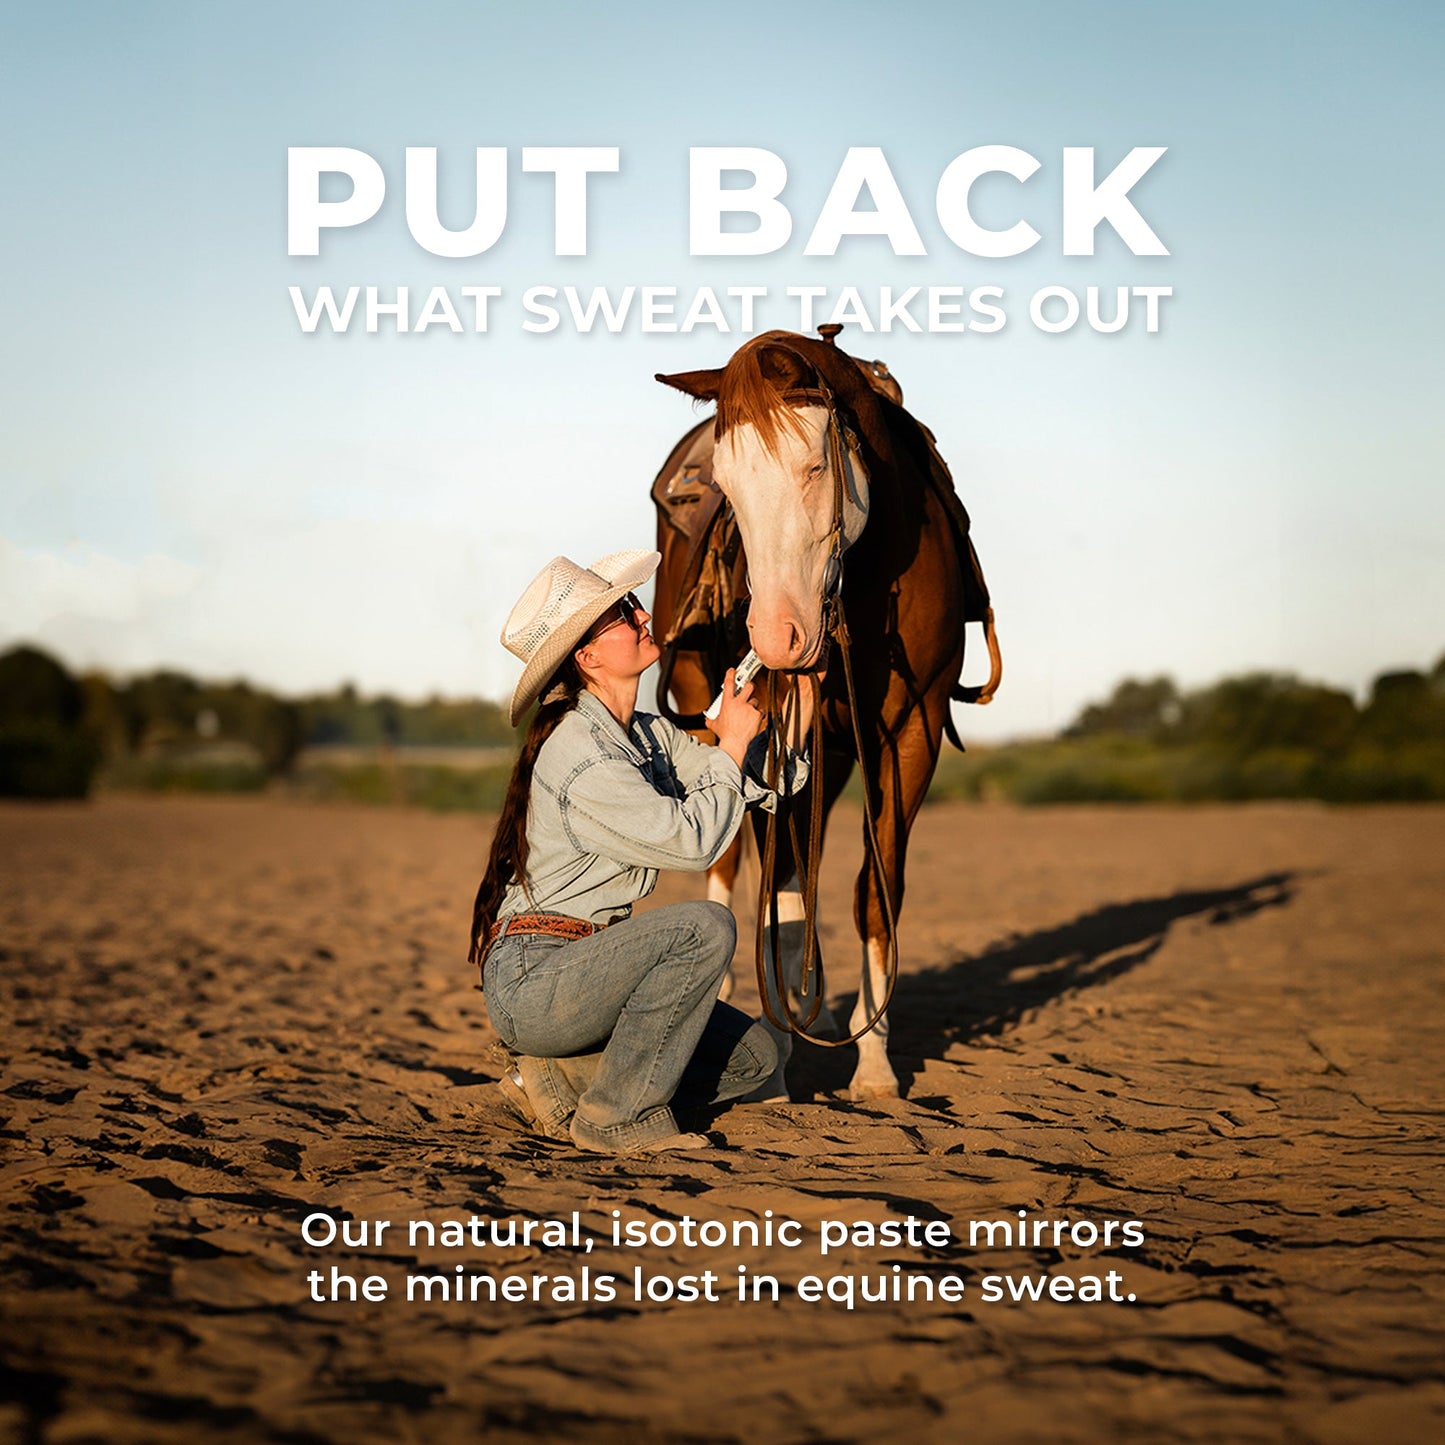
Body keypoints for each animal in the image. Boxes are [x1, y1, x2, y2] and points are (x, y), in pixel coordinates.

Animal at [650, 328, 1000, 1100]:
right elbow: (773, 901)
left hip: (836, 754)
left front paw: (873, 1068)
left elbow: (874, 889)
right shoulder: (765, 738)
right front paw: (775, 1062)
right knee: (737, 870)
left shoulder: (910, 738)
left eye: (814, 465)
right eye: (728, 483)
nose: (777, 636)